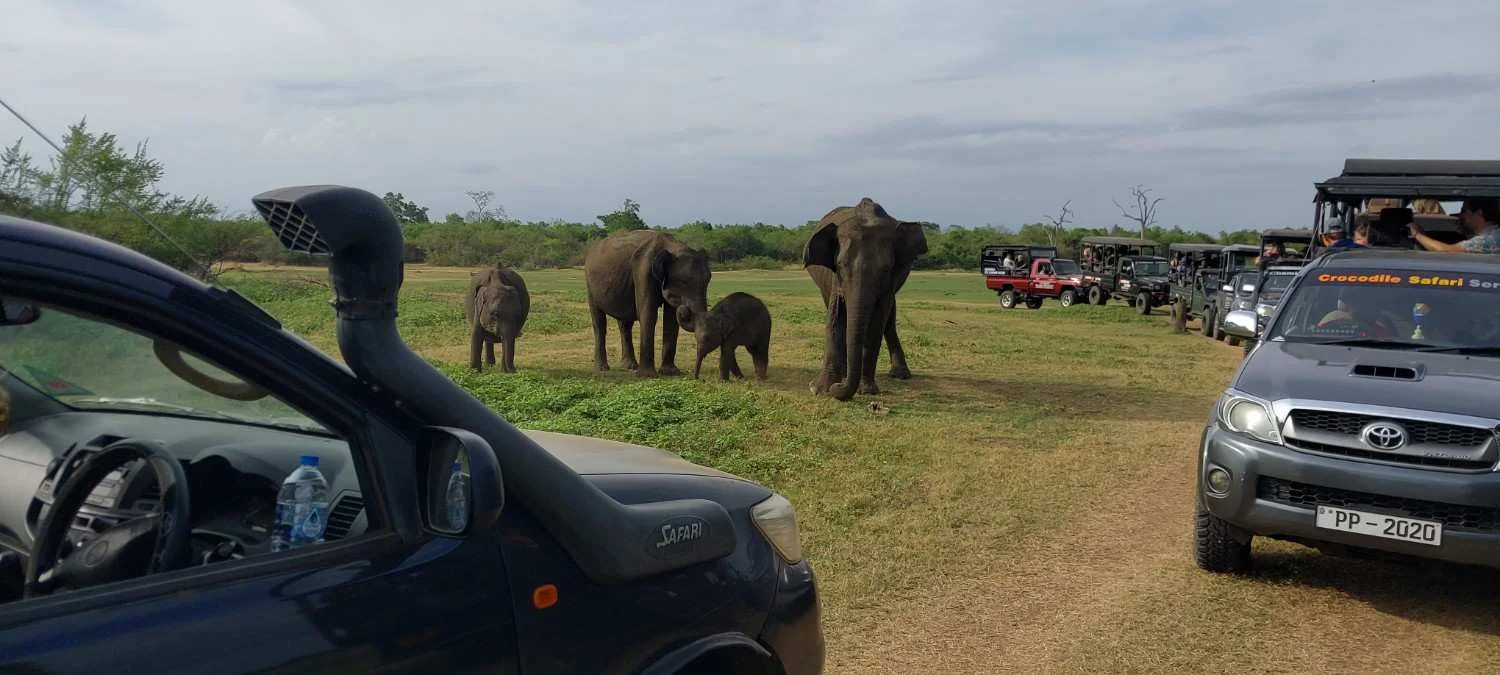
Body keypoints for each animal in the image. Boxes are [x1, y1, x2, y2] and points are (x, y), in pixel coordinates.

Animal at [584, 229, 712, 377]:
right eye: (684, 282)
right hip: (590, 285)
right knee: (599, 323)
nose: (684, 309)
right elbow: (648, 314)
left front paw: (670, 372)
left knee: (625, 324)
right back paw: (602, 368)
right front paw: (647, 375)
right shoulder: (643, 270)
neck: (672, 246)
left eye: (708, 280)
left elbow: (671, 319)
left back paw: (630, 366)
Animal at [803, 198, 928, 401]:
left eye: (886, 268)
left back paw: (900, 374)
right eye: (840, 264)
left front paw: (867, 390)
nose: (837, 387)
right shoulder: (835, 279)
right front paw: (820, 389)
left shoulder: (890, 280)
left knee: (889, 319)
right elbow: (835, 317)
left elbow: (877, 323)